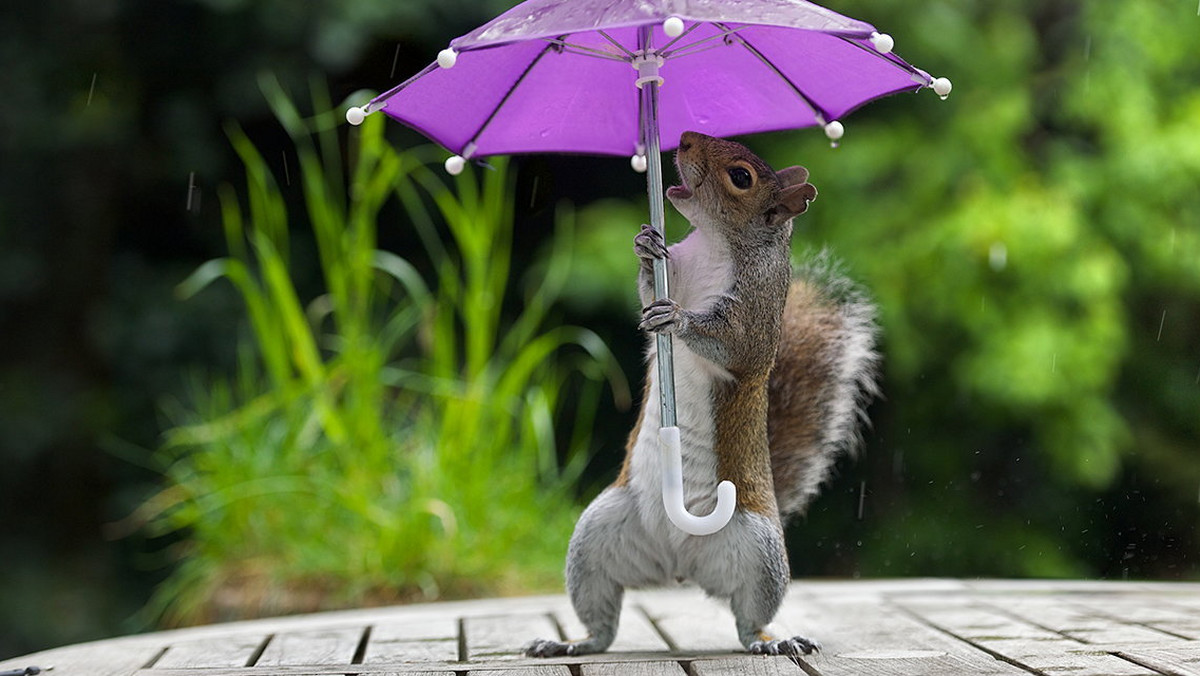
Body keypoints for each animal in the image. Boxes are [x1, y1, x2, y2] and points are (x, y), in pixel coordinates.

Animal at [525, 130, 883, 657]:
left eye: (741, 177)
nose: (686, 139)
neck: (715, 243)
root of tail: (679, 567)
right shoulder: (676, 271)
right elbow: (647, 292)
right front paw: (644, 245)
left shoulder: (753, 315)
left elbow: (730, 345)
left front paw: (679, 319)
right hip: (595, 537)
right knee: (603, 620)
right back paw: (573, 643)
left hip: (757, 551)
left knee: (748, 617)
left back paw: (771, 641)